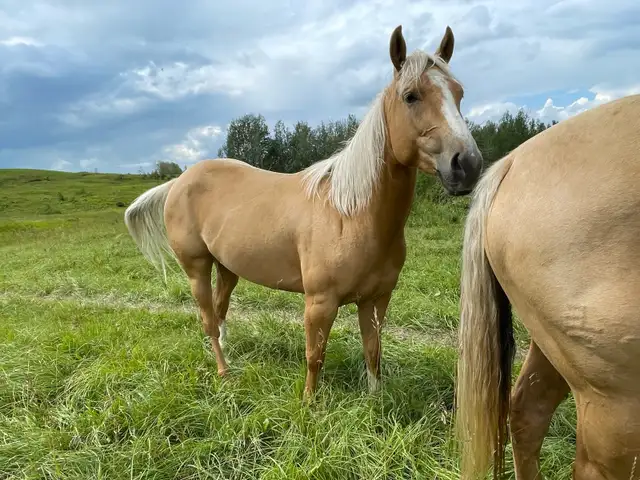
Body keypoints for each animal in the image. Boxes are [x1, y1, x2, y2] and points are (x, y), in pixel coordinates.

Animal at [124, 24, 483, 399]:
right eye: (411, 96)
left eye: (458, 93)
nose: (467, 164)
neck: (351, 214)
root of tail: (179, 181)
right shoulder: (320, 302)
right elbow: (315, 356)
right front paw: (310, 403)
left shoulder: (376, 300)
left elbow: (373, 351)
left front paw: (375, 400)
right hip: (196, 268)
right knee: (208, 320)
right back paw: (224, 372)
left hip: (227, 267)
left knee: (221, 315)